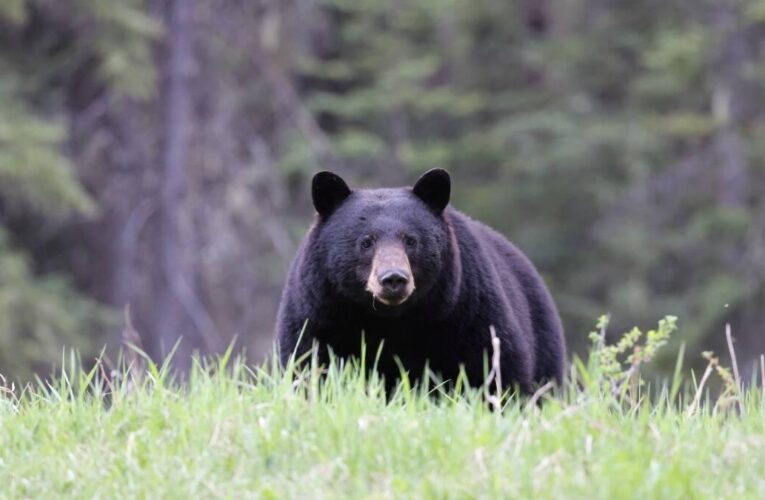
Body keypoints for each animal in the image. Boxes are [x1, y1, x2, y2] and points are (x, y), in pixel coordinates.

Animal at [276, 168, 566, 393]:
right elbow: (309, 366)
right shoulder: (319, 315)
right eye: (366, 242)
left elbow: (493, 368)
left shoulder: (467, 312)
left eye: (411, 240)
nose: (393, 278)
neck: (389, 320)